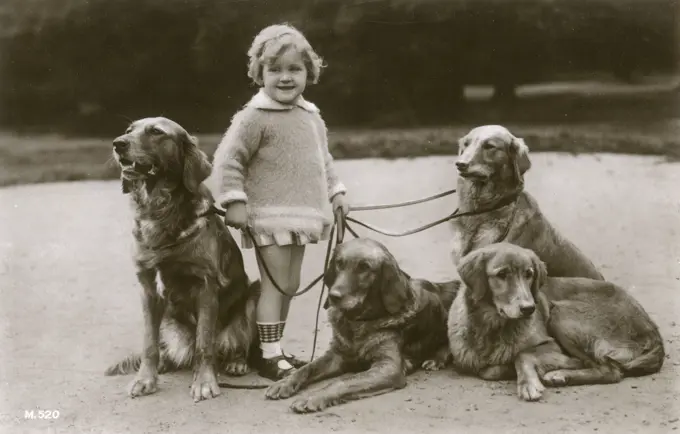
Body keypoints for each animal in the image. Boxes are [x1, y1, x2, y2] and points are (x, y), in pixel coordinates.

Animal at [105, 117, 260, 402]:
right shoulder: (148, 288)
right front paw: (145, 379)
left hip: (255, 294)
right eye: (130, 130)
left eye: (156, 132)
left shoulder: (206, 286)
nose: (118, 143)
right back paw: (165, 363)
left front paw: (204, 382)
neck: (161, 210)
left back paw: (236, 361)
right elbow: (149, 343)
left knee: (235, 343)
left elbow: (204, 343)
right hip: (168, 318)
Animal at [262, 239, 460, 412]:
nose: (333, 296)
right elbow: (307, 368)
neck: (358, 321)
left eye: (365, 267)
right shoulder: (336, 355)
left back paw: (436, 359)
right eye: (339, 263)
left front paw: (312, 397)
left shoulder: (388, 367)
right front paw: (285, 382)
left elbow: (341, 382)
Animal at [446, 242, 664, 402]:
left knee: (610, 371)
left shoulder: (551, 344)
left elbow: (521, 355)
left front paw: (527, 383)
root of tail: (653, 332)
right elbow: (488, 369)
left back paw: (561, 373)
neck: (492, 327)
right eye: (501, 274)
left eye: (529, 274)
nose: (529, 308)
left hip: (561, 314)